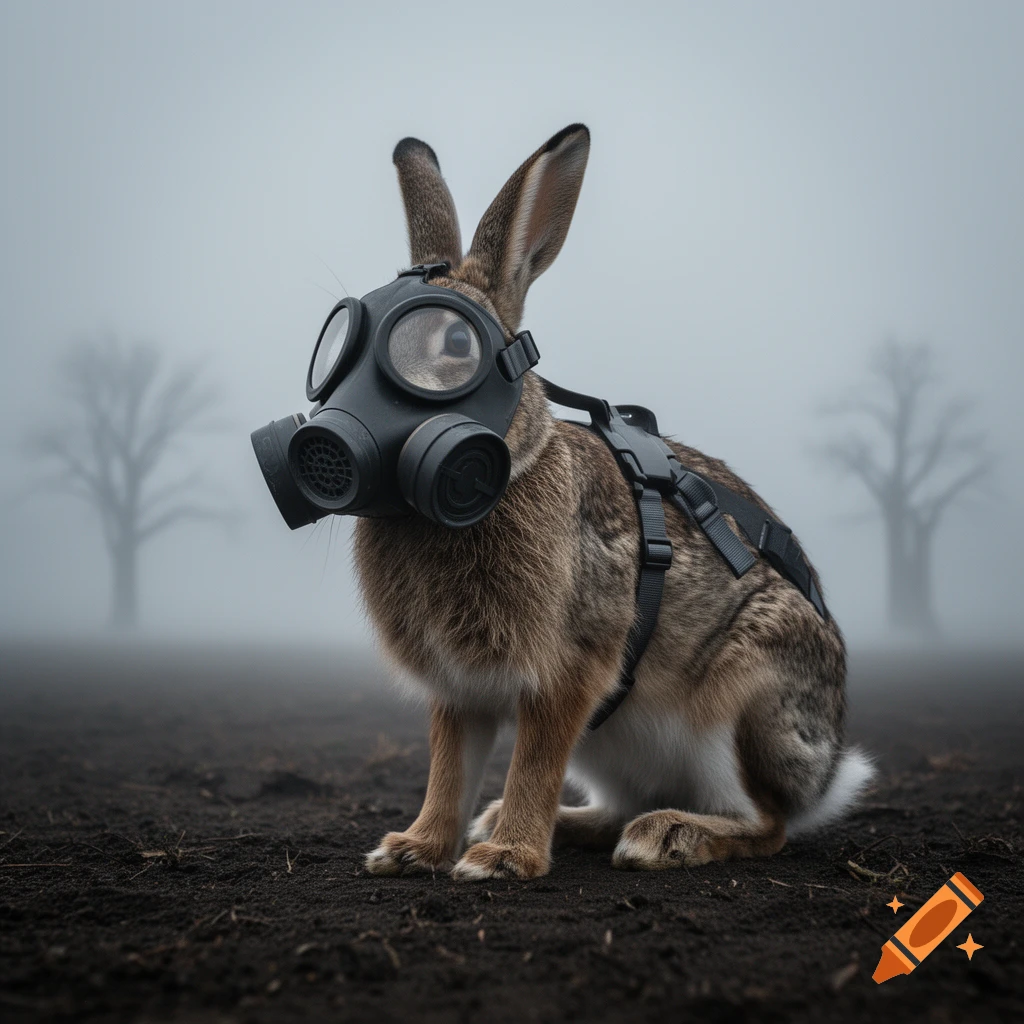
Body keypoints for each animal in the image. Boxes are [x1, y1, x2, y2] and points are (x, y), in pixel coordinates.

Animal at [359, 123, 873, 881]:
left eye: (455, 342)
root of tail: (825, 770)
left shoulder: (571, 667)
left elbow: (532, 762)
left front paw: (503, 860)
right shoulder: (458, 689)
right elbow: (449, 769)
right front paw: (413, 849)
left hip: (738, 704)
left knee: (766, 823)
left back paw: (666, 836)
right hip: (610, 745)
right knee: (620, 805)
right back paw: (548, 823)